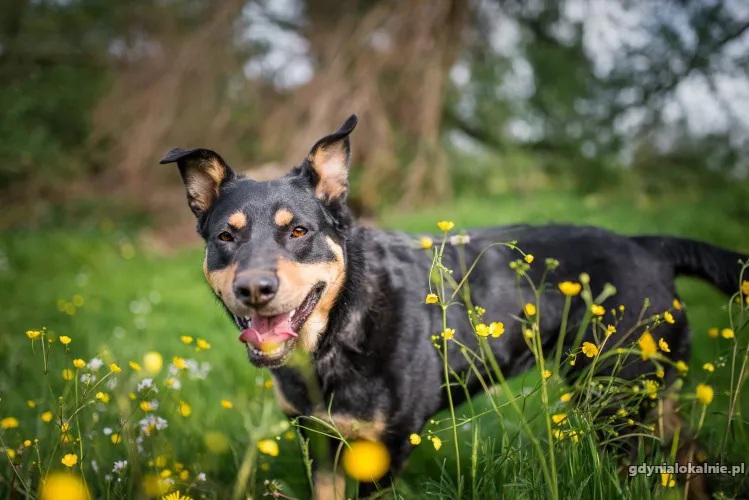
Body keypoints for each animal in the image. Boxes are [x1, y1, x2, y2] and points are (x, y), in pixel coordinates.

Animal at [161, 115, 744, 498]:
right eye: (226, 237)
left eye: (298, 231)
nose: (254, 289)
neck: (340, 330)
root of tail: (650, 244)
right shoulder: (320, 443)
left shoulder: (385, 450)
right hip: (647, 396)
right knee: (693, 460)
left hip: (614, 403)